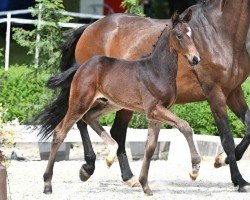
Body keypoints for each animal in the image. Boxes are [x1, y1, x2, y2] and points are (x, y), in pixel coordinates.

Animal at [43, 10, 201, 195]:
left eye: (192, 34)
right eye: (179, 35)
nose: (195, 59)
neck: (156, 71)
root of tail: (82, 65)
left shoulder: (156, 114)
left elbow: (150, 147)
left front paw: (145, 185)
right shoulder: (153, 109)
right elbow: (185, 126)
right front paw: (194, 170)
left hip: (110, 103)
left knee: (89, 118)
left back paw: (110, 155)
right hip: (80, 102)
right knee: (61, 132)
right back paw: (48, 184)